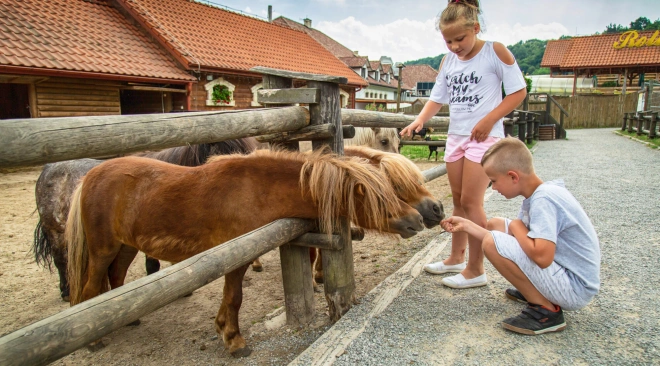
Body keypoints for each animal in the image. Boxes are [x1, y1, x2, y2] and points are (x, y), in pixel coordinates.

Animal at [65, 149, 422, 354]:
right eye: (381, 197)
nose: (418, 219)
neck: (254, 189)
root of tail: (90, 175)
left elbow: (231, 298)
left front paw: (224, 330)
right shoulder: (235, 257)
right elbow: (234, 297)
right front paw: (233, 338)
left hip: (125, 247)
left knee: (116, 279)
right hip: (103, 249)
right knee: (91, 288)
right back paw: (94, 341)